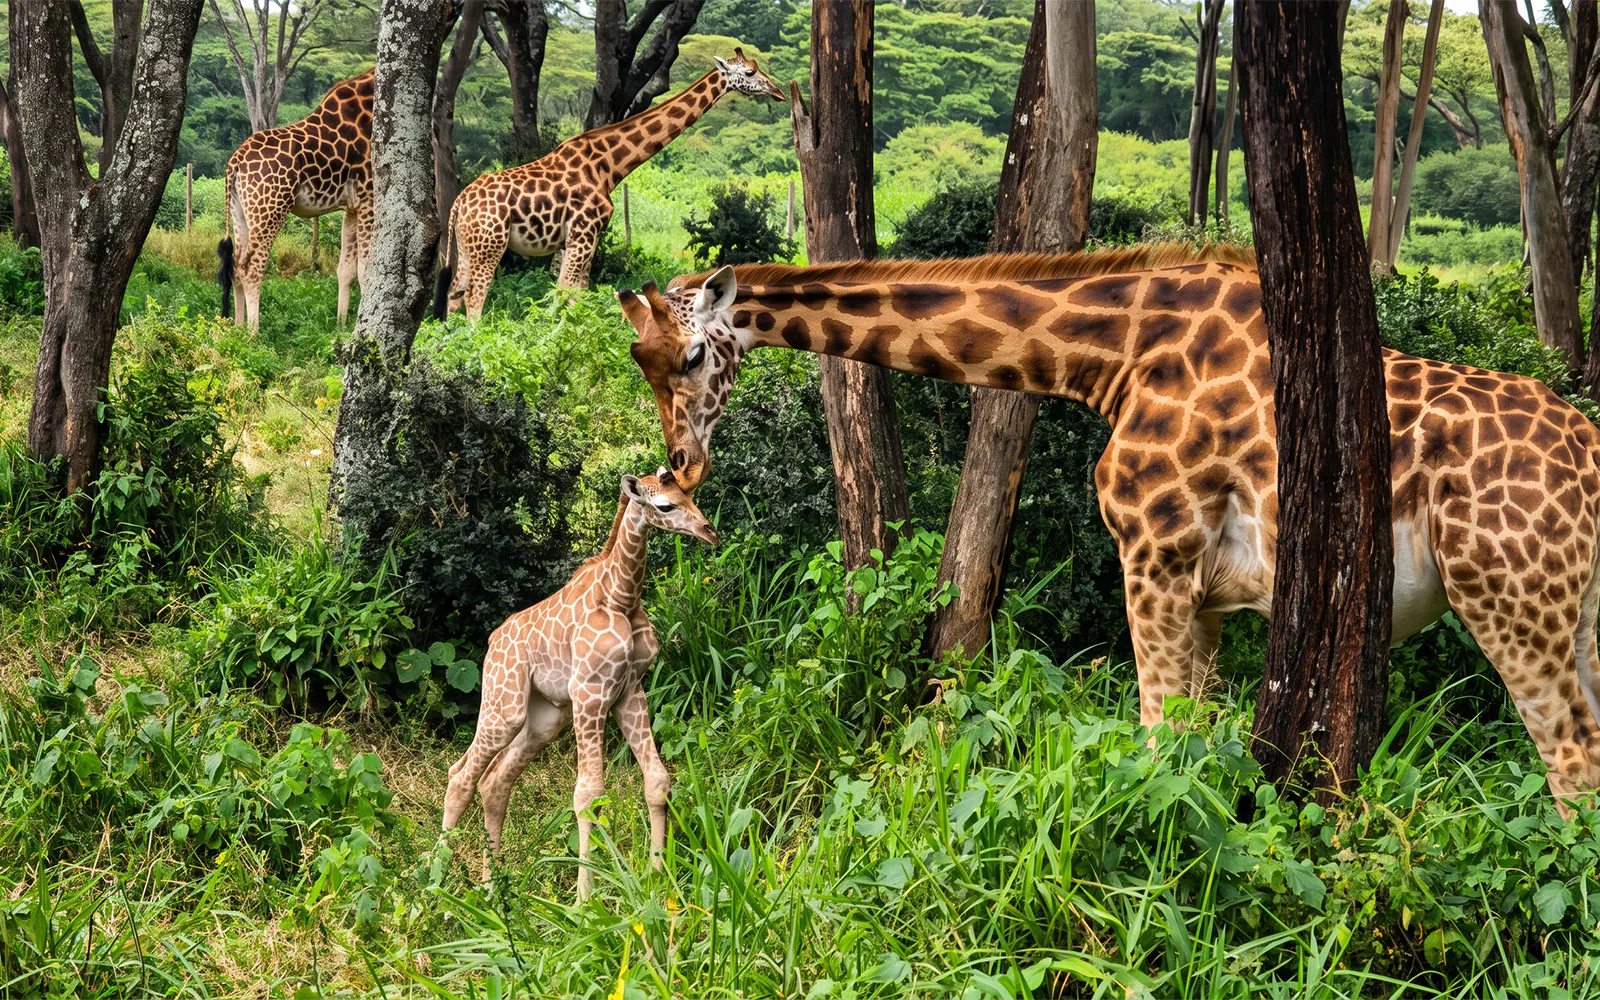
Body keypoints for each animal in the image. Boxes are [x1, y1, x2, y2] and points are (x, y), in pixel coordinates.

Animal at [219, 69, 375, 331]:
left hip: (240, 211)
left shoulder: (352, 206)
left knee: (235, 266)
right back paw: (253, 332)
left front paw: (341, 325)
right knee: (252, 268)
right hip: (270, 209)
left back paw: (238, 328)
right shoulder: (369, 196)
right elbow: (366, 271)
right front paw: (359, 326)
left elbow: (346, 269)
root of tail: (236, 162)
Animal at [433, 49, 786, 320]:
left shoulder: (573, 240)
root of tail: (459, 203)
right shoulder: (585, 232)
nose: (779, 92)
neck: (609, 167)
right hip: (490, 245)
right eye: (750, 72)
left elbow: (574, 293)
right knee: (474, 297)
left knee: (454, 293)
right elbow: (568, 292)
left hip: (469, 245)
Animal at [442, 470, 719, 897]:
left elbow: (657, 780)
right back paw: (431, 881)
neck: (620, 598)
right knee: (460, 777)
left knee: (494, 782)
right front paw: (584, 900)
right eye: (664, 506)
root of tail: (492, 642)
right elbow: (589, 794)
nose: (710, 532)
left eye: (691, 498)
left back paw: (492, 888)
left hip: (544, 718)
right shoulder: (588, 692)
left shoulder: (629, 691)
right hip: (505, 705)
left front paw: (657, 879)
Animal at [617, 245, 1600, 815]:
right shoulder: (1208, 595)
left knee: (1571, 761)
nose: (683, 465)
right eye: (642, 362)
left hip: (1510, 599)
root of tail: (1590, 453)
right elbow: (1195, 745)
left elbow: (1158, 737)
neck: (1114, 354)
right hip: (1579, 613)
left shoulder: (1155, 556)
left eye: (696, 354)